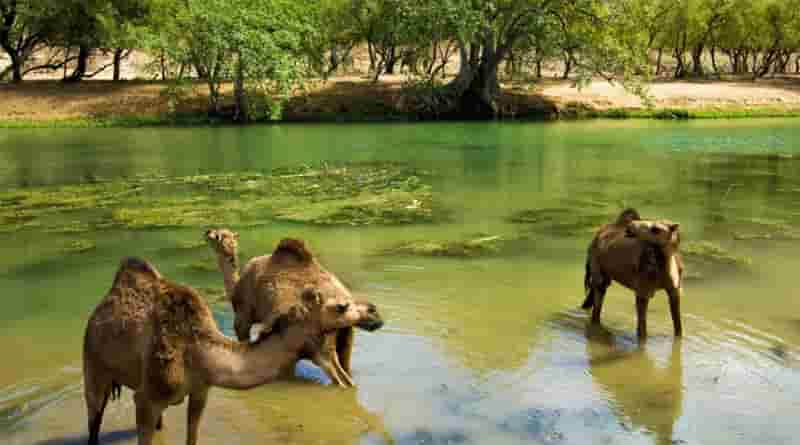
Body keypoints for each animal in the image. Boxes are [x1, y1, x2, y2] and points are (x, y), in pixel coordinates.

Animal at [82, 255, 384, 444]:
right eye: (341, 306)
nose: (374, 312)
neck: (199, 351)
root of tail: (99, 310)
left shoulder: (200, 391)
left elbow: (192, 436)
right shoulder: (147, 399)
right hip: (94, 366)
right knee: (94, 419)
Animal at [206, 231, 366, 386]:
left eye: (217, 235)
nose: (207, 232)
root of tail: (347, 301)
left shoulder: (243, 316)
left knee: (337, 376)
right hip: (344, 338)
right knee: (346, 370)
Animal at [580, 210, 684, 338]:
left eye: (656, 229)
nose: (630, 227)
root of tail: (598, 234)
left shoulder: (675, 290)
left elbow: (678, 327)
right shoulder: (643, 291)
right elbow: (642, 330)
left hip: (605, 276)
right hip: (598, 270)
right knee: (597, 305)